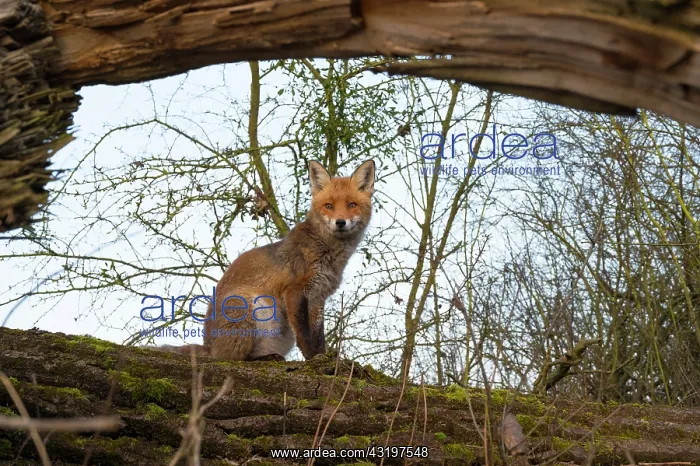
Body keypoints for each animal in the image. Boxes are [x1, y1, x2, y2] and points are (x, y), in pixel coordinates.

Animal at [170, 159, 375, 361]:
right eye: (329, 206)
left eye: (352, 205)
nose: (340, 222)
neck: (326, 250)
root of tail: (209, 346)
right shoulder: (294, 291)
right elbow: (304, 335)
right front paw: (312, 359)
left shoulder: (317, 297)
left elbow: (318, 336)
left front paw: (323, 357)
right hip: (252, 307)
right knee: (232, 358)